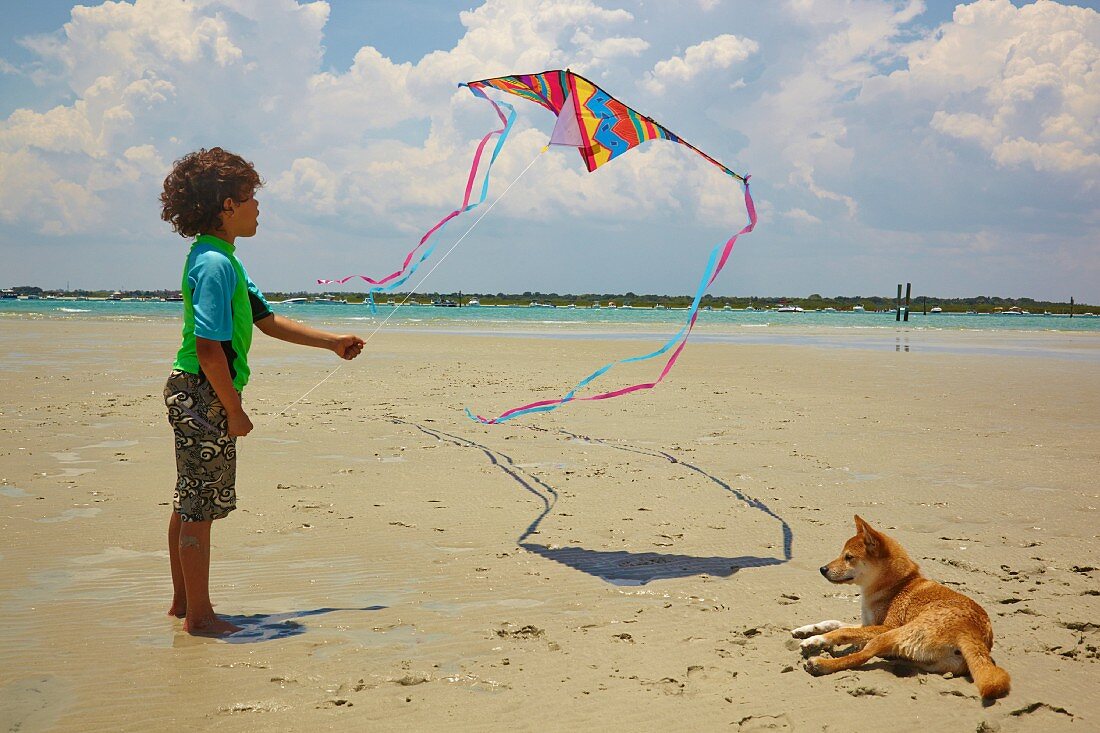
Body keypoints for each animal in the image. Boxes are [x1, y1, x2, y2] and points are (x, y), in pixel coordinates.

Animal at [792, 512, 1012, 695]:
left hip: (892, 634)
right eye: (841, 554)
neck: (896, 585)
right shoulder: (867, 623)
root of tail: (972, 633)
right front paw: (807, 630)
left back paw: (819, 664)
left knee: (861, 656)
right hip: (922, 658)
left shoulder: (884, 626)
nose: (822, 569)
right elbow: (834, 622)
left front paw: (816, 640)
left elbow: (842, 631)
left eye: (849, 557)